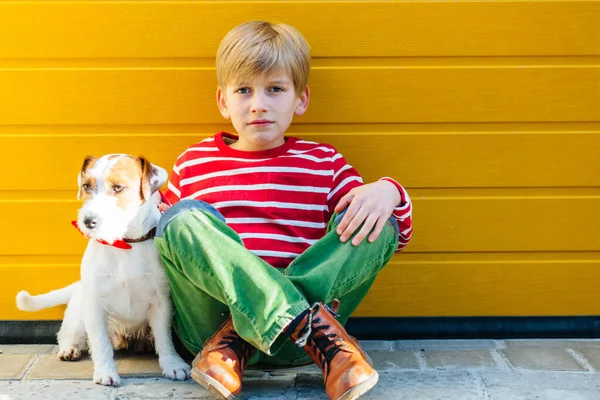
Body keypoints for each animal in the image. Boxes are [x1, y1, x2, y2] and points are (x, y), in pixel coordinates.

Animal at [15, 153, 190, 384]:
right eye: (87, 186)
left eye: (118, 187)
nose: (87, 221)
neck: (125, 244)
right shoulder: (95, 306)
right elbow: (100, 343)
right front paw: (105, 372)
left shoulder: (161, 302)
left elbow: (164, 338)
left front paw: (172, 364)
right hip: (78, 317)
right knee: (68, 335)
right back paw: (70, 349)